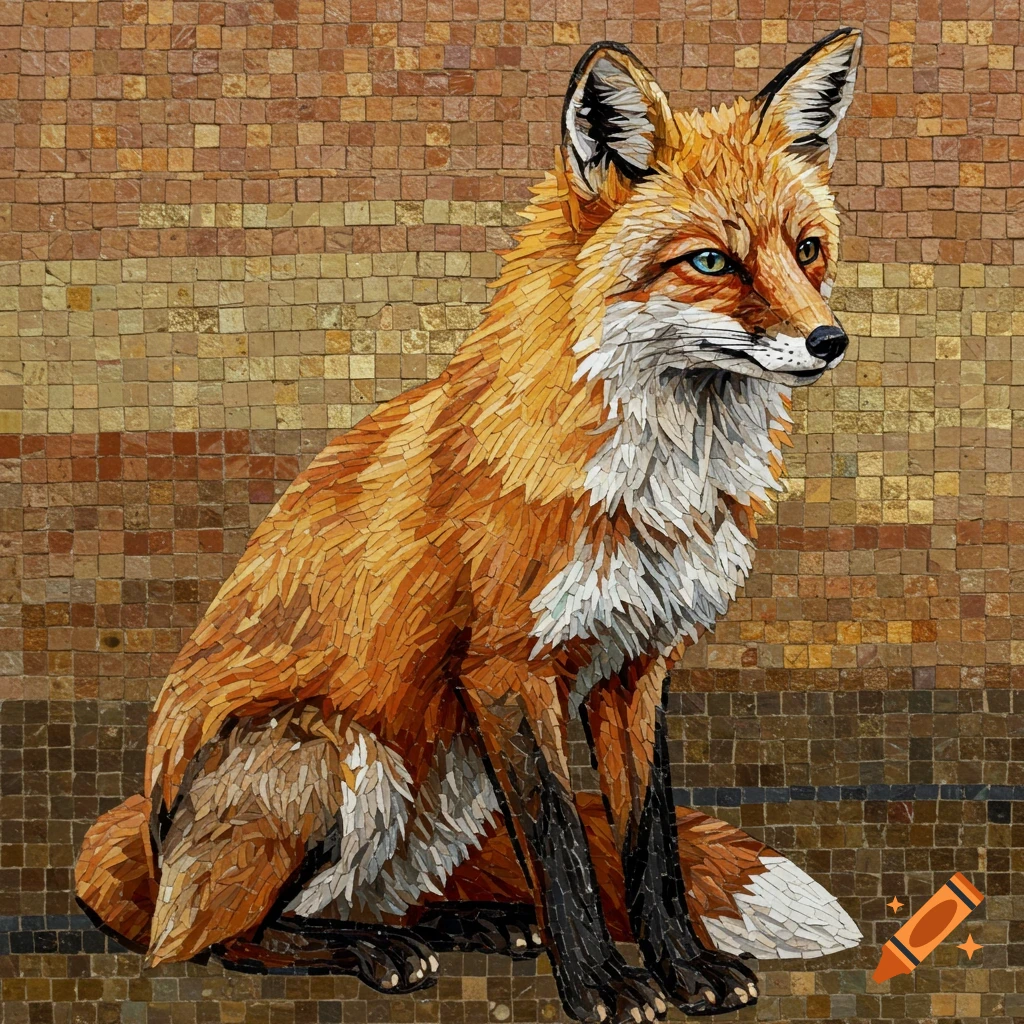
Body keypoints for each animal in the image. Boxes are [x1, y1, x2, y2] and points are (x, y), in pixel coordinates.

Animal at [76, 28, 863, 1024]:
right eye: (712, 263)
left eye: (808, 250)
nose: (830, 340)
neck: (654, 485)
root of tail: (140, 846)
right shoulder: (505, 670)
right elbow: (564, 843)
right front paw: (603, 986)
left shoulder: (640, 665)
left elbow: (649, 847)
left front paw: (685, 969)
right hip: (335, 752)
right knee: (226, 940)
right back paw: (371, 951)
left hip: (446, 795)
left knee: (380, 900)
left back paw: (470, 923)